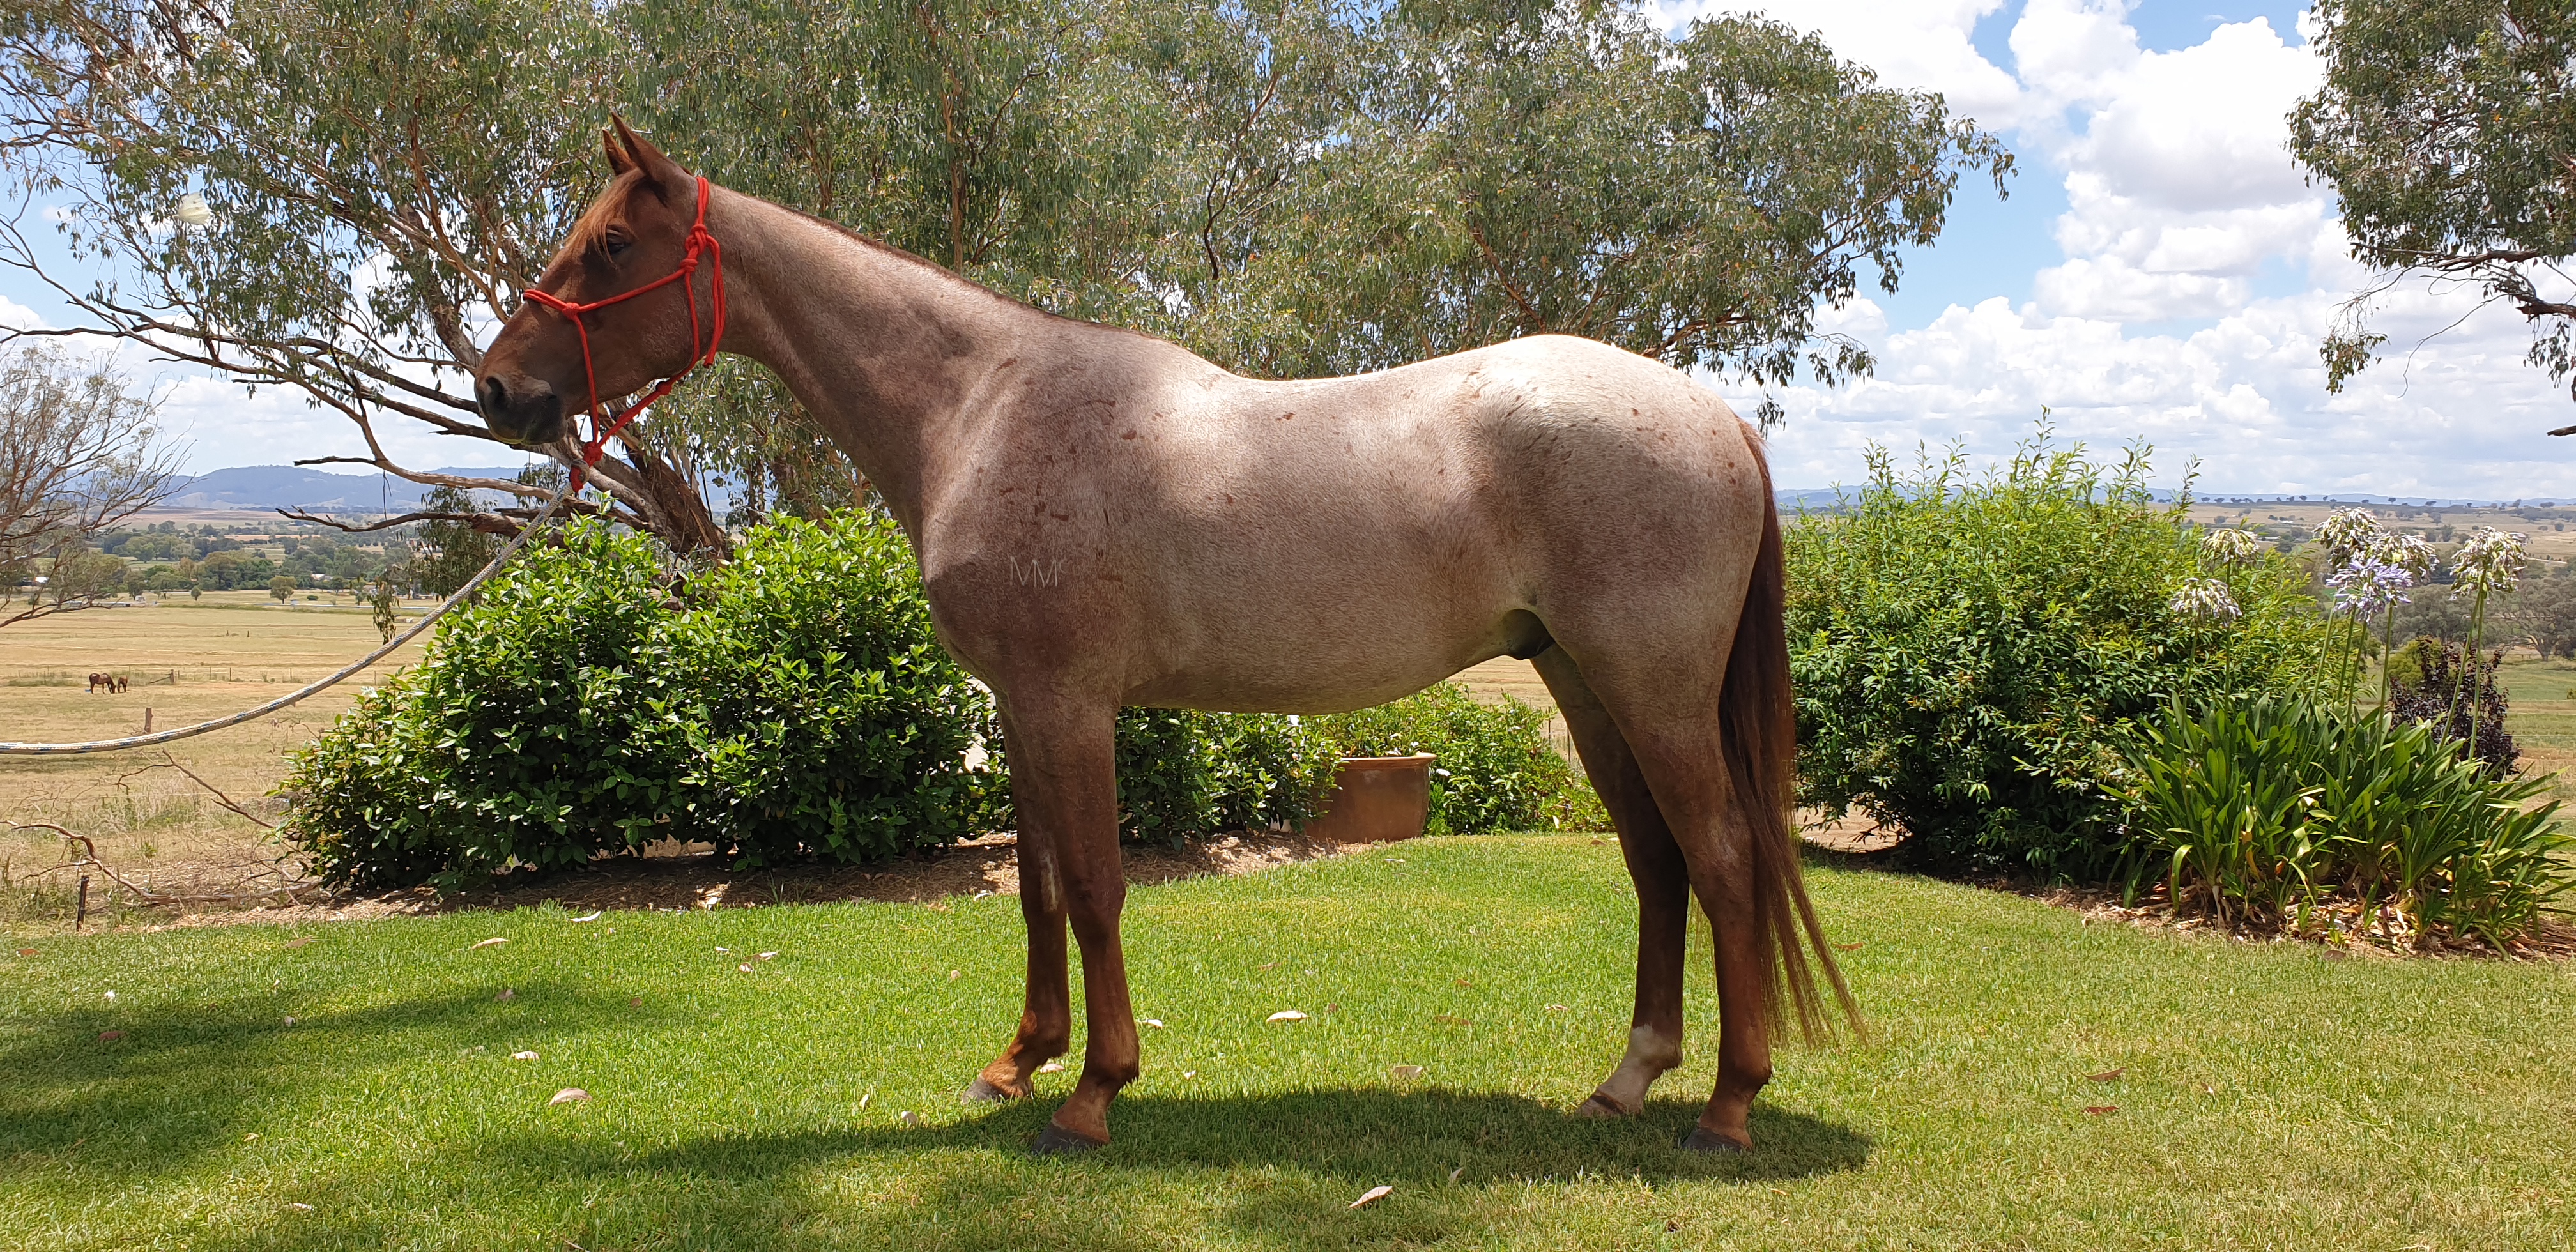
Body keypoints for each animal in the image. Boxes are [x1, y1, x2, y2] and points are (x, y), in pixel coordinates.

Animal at [475, 120, 1856, 1154]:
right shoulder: (1021, 705)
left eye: (611, 246)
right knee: (1658, 864)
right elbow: (1036, 887)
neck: (986, 405)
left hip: (1653, 689)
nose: (497, 389)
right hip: (1584, 683)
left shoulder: (1068, 702)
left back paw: (1728, 1106)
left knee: (1723, 859)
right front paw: (1017, 1062)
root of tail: (1715, 418)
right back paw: (1626, 1083)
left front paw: (1093, 1093)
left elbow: (1093, 886)